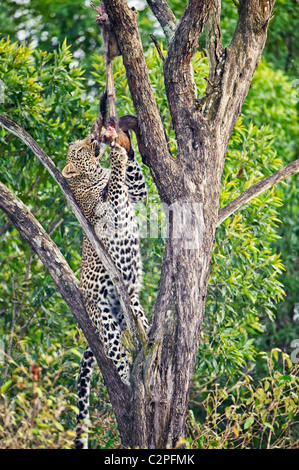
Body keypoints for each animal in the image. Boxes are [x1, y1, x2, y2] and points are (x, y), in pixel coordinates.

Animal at [62, 131, 149, 448]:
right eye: (78, 151)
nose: (91, 138)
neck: (93, 176)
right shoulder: (109, 205)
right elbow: (114, 183)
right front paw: (116, 155)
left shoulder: (135, 194)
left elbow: (134, 182)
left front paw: (124, 144)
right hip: (104, 319)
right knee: (117, 356)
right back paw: (130, 377)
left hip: (130, 307)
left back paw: (148, 333)